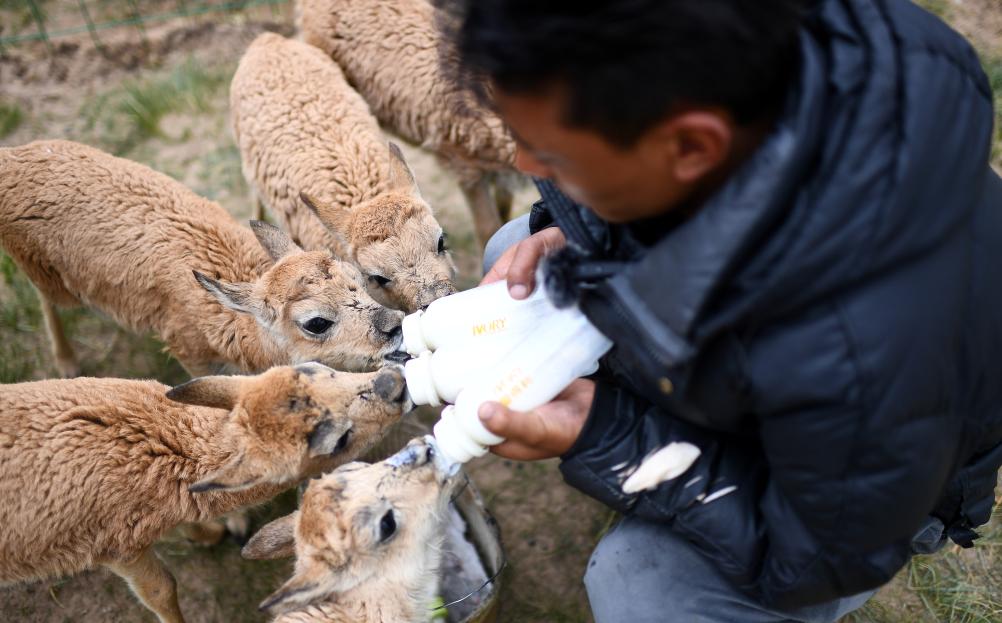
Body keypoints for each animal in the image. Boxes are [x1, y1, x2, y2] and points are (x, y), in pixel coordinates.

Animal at [0, 139, 406, 379]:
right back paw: (67, 362)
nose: (394, 325)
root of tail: (13, 156)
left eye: (359, 279)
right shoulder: (190, 354)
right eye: (316, 322)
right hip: (46, 275)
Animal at [0, 362, 411, 623]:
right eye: (338, 440)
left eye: (318, 368)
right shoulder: (114, 546)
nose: (394, 383)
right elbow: (162, 590)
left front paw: (207, 534)